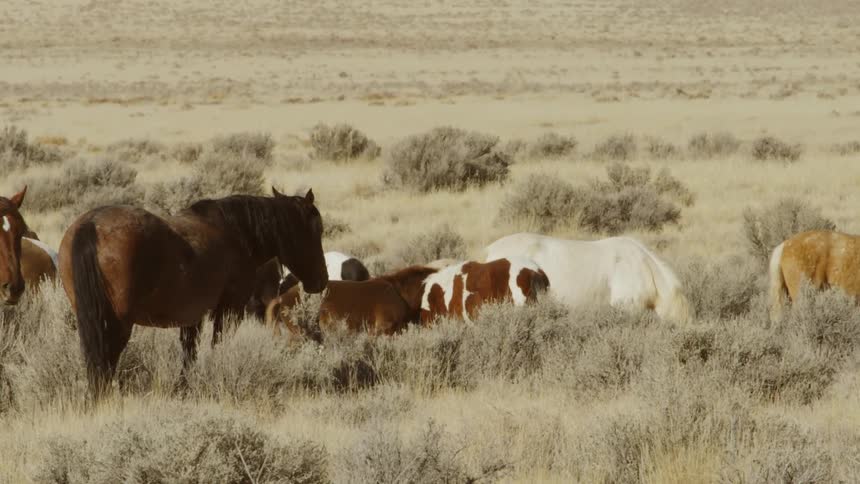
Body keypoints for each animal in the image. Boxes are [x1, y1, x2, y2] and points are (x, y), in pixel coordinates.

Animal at [58, 188, 328, 397]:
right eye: (316, 231)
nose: (322, 280)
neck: (236, 233)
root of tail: (91, 225)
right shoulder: (229, 309)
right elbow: (218, 344)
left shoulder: (192, 316)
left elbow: (189, 352)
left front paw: (184, 388)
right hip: (118, 322)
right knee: (106, 357)